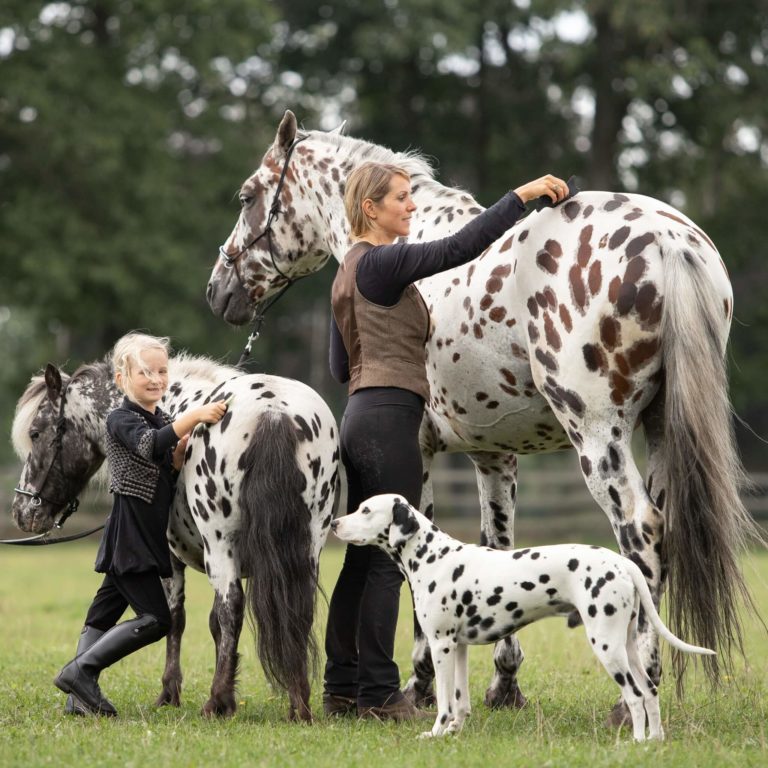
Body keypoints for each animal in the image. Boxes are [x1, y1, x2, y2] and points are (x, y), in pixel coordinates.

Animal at [332, 496, 716, 740]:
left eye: (365, 509)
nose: (334, 522)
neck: (433, 556)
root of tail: (623, 562)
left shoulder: (440, 647)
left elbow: (443, 702)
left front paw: (436, 731)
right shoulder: (458, 648)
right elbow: (460, 700)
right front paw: (454, 731)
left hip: (607, 646)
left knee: (635, 695)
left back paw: (636, 742)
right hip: (628, 646)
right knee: (650, 691)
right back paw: (655, 740)